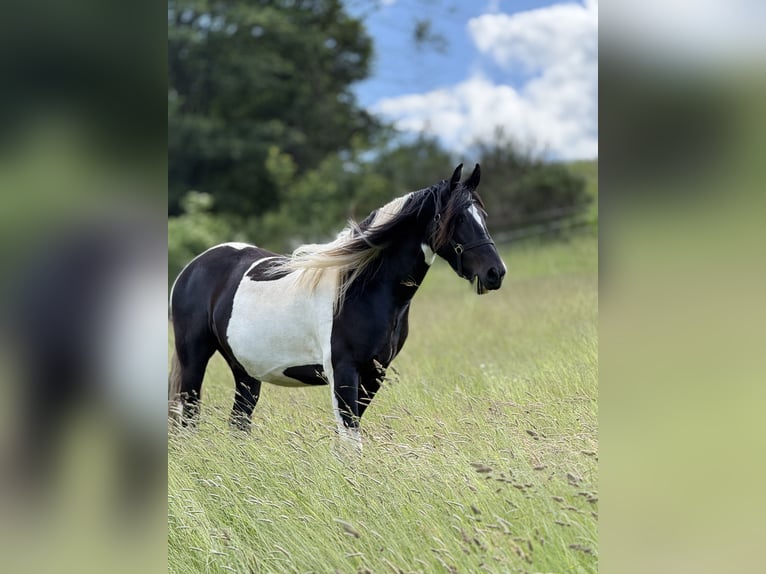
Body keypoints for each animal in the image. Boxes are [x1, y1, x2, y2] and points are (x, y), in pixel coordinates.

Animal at [168, 163, 506, 448]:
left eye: (483, 217)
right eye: (458, 218)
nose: (495, 273)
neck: (362, 287)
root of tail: (192, 268)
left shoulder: (374, 374)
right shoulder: (343, 371)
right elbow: (350, 439)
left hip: (245, 370)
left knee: (238, 422)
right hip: (194, 361)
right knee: (190, 418)